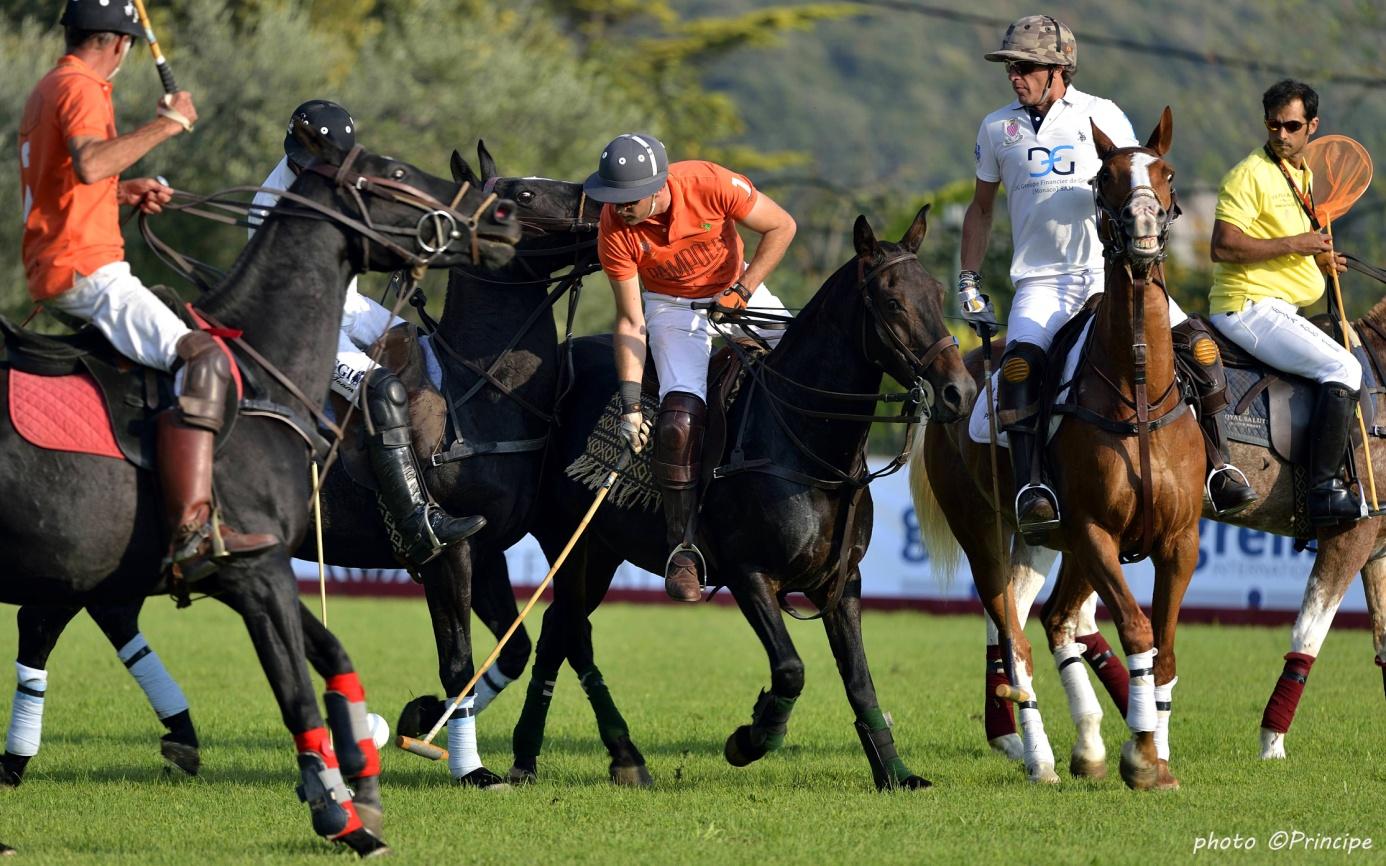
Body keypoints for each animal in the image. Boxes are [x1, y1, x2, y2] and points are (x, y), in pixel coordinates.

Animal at [504, 206, 970, 787]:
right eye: (891, 301)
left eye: (937, 291)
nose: (958, 391)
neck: (809, 447)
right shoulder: (750, 574)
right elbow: (791, 670)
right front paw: (751, 737)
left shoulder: (843, 582)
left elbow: (860, 679)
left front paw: (895, 773)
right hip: (567, 539)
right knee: (570, 629)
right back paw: (590, 756)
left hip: (601, 549)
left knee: (556, 630)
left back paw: (534, 756)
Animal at [914, 108, 1197, 792]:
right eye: (1107, 178)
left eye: (1166, 173)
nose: (1144, 229)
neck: (1137, 386)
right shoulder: (1095, 530)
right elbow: (1138, 629)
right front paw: (1140, 755)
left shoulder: (1180, 539)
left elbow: (1165, 647)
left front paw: (1156, 755)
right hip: (987, 529)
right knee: (1012, 631)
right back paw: (1040, 756)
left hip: (1046, 542)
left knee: (1051, 618)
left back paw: (1084, 746)